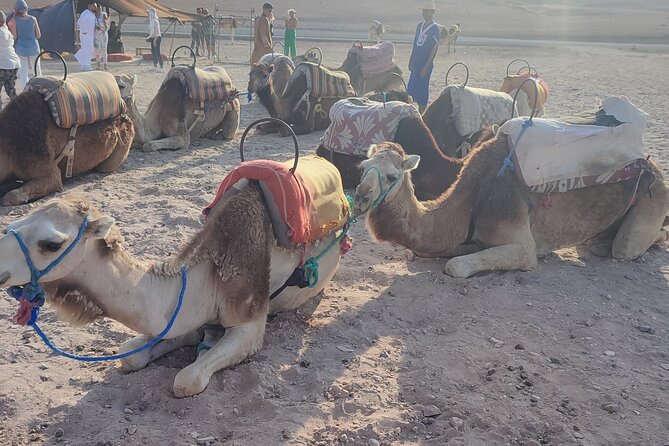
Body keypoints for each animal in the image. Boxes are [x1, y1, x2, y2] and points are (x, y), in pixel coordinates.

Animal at [0, 188, 343, 397]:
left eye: (51, 244)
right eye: (14, 222)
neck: (205, 277)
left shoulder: (250, 320)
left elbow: (186, 380)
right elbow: (131, 354)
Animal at [354, 141, 669, 278]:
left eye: (392, 176)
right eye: (363, 167)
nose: (360, 196)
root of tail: (654, 167)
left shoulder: (523, 246)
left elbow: (454, 266)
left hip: (653, 200)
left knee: (627, 246)